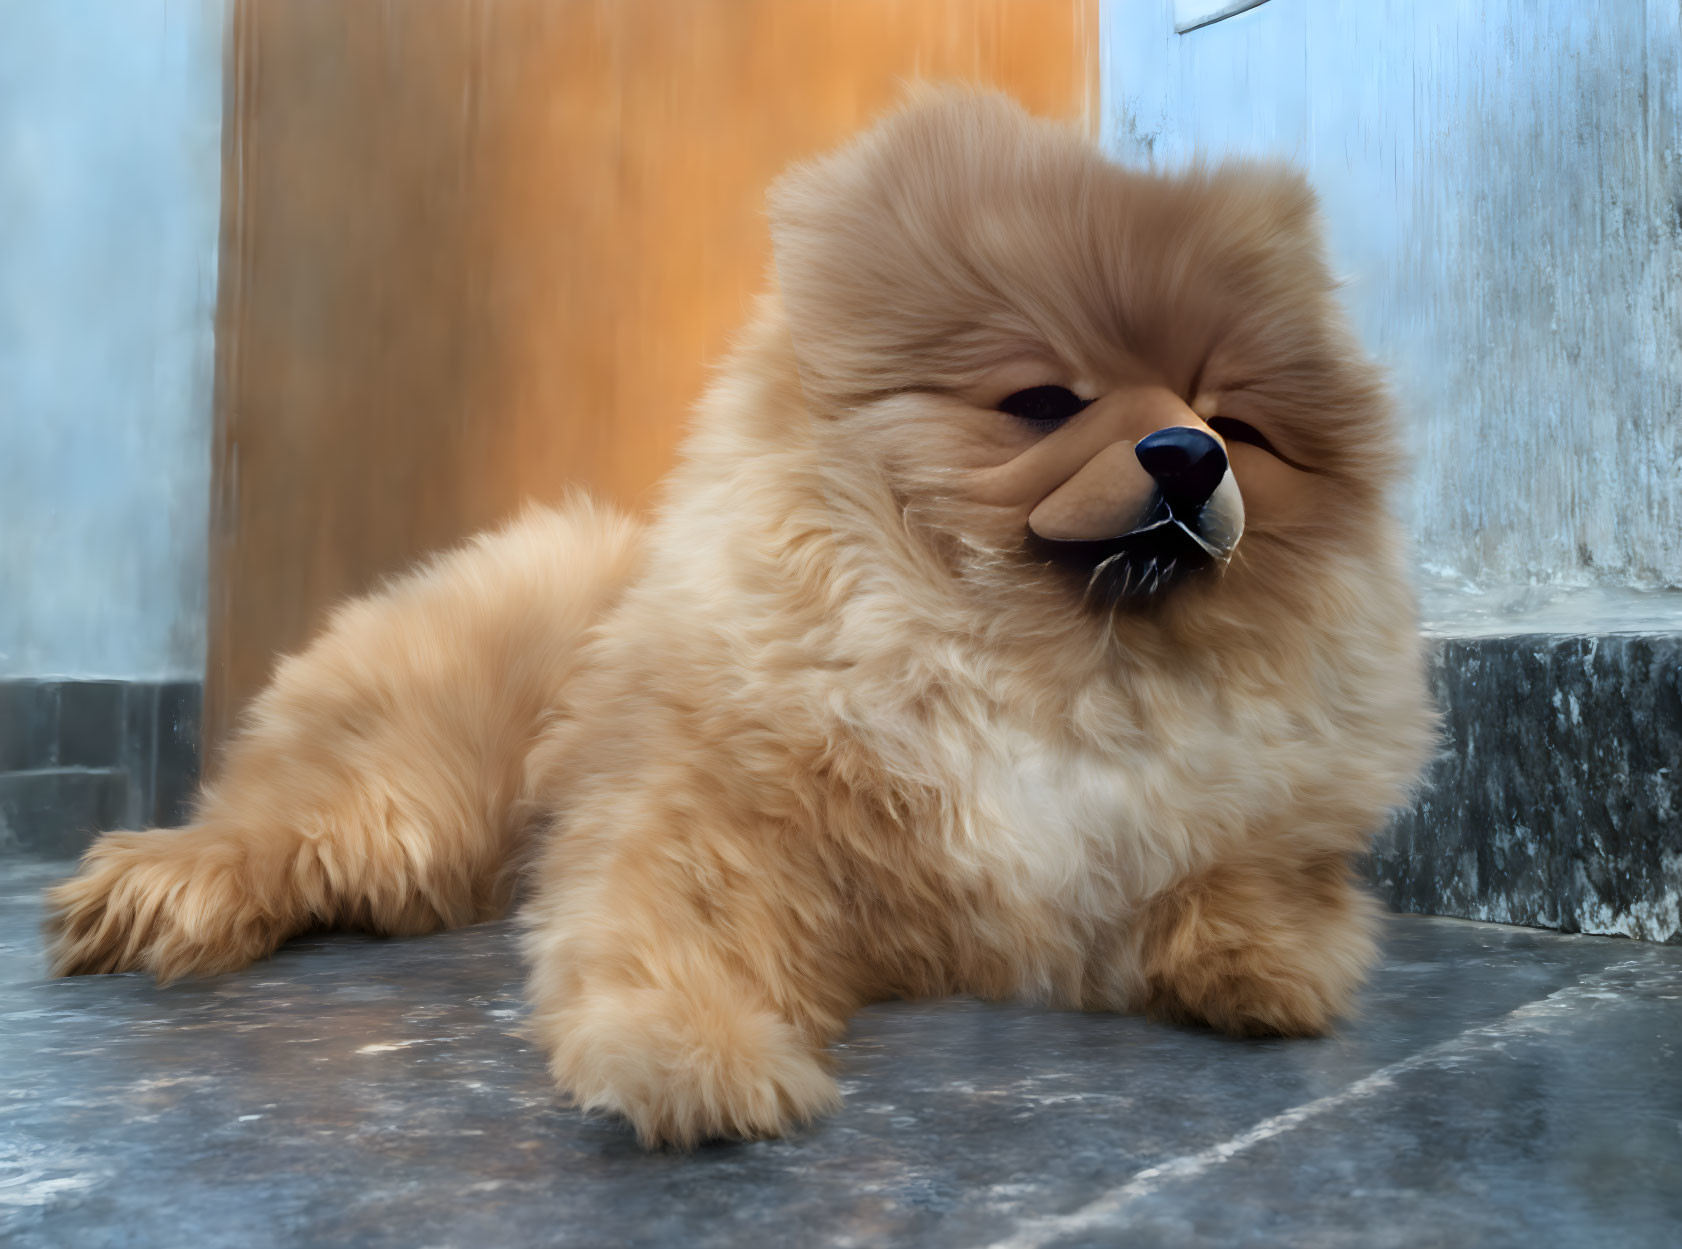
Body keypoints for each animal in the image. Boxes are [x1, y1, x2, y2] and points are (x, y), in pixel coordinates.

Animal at [42, 87, 1433, 1149]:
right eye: (1042, 404)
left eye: (1236, 422)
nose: (1188, 456)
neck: (1042, 669)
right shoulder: (717, 817)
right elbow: (677, 930)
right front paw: (687, 1059)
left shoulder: (1202, 835)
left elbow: (1251, 881)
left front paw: (1260, 964)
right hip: (423, 787)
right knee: (289, 823)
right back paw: (172, 887)